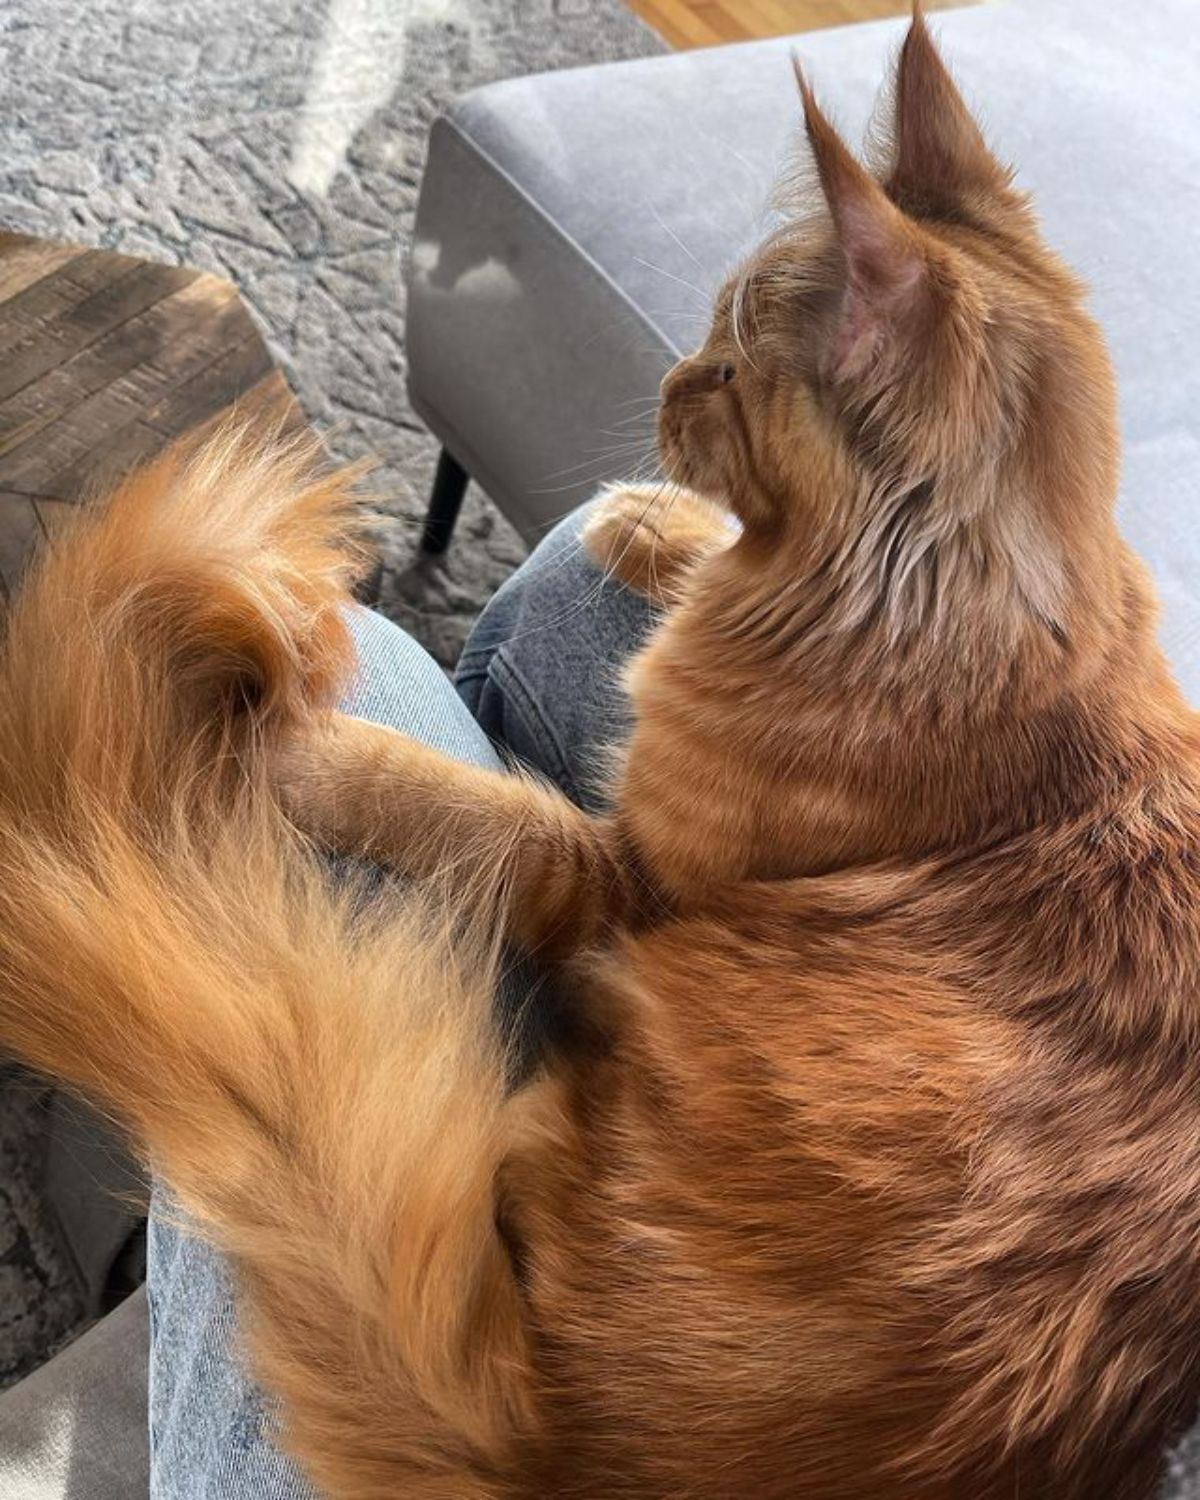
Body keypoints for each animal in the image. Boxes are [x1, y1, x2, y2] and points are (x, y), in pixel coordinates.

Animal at [2, 11, 1200, 1500]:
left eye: (732, 365)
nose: (673, 381)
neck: (941, 634)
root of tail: (557, 1443)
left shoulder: (629, 881)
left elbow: (466, 804)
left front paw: (316, 759)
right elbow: (700, 554)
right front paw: (646, 523)